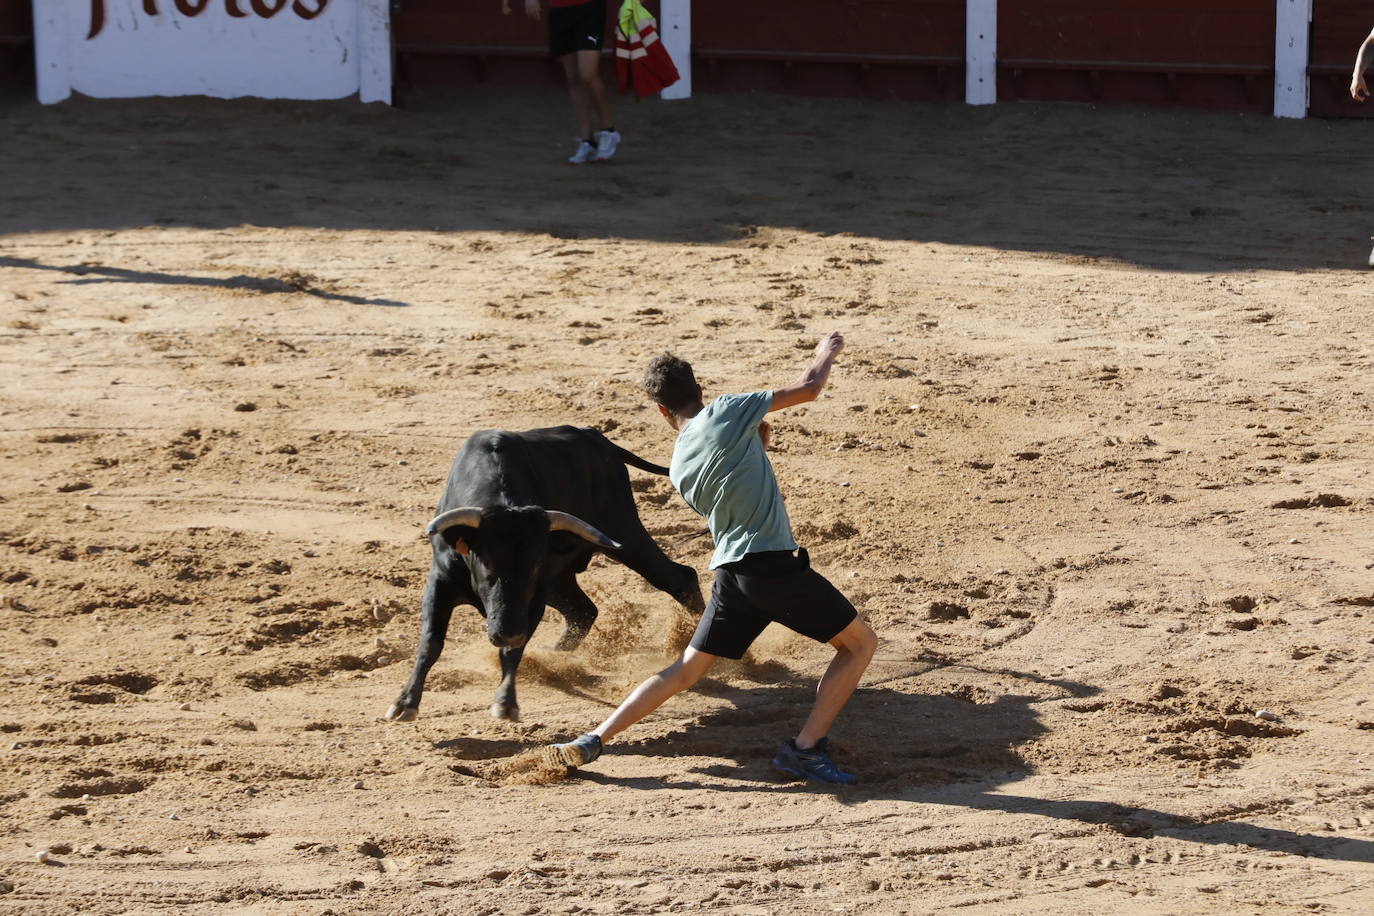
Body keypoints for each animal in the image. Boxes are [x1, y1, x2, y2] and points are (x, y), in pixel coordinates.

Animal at [390, 425, 703, 719]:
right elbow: (431, 641)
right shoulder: (440, 582)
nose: (507, 632)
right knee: (584, 611)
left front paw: (506, 702)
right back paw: (554, 658)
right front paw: (405, 703)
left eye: (535, 565)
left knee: (680, 579)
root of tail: (595, 437)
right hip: (565, 579)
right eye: (486, 562)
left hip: (626, 536)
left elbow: (513, 651)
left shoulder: (535, 596)